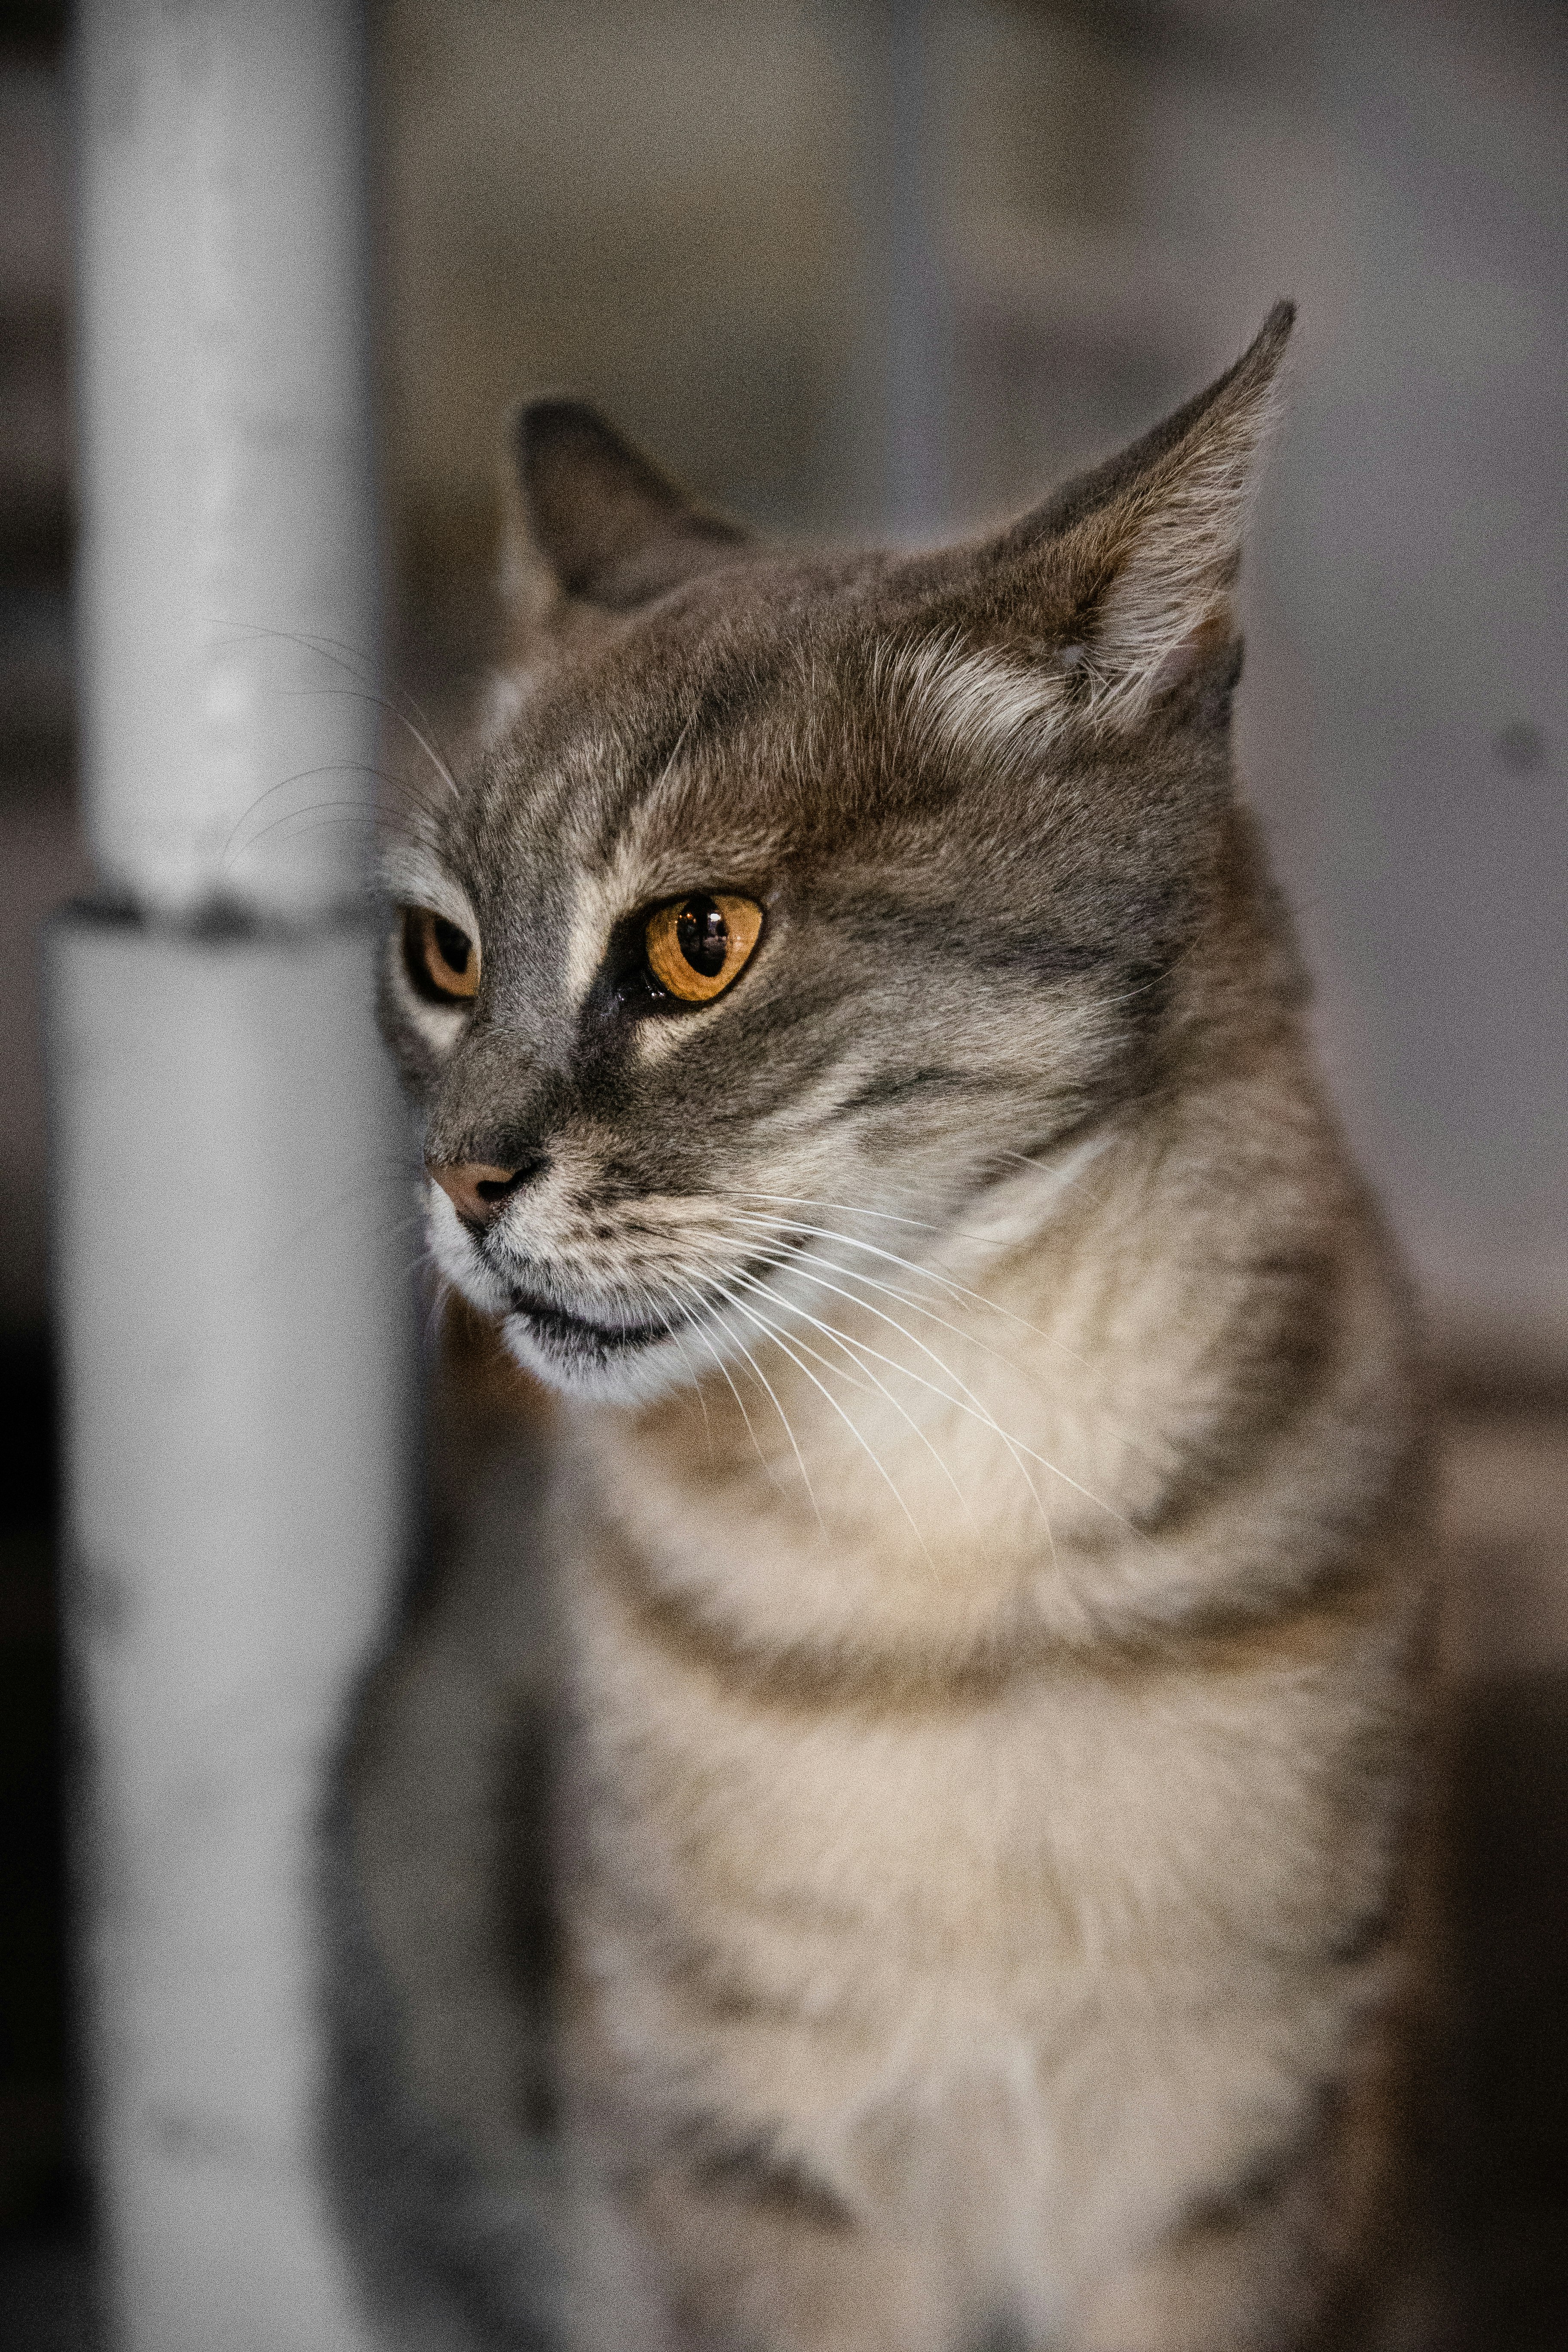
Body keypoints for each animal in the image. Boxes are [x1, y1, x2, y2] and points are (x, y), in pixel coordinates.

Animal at [334, 312, 1448, 2352]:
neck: (954, 1547)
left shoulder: (1233, 2145)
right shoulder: (740, 2155)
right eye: (440, 953)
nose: (459, 1177)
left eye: (697, 940)